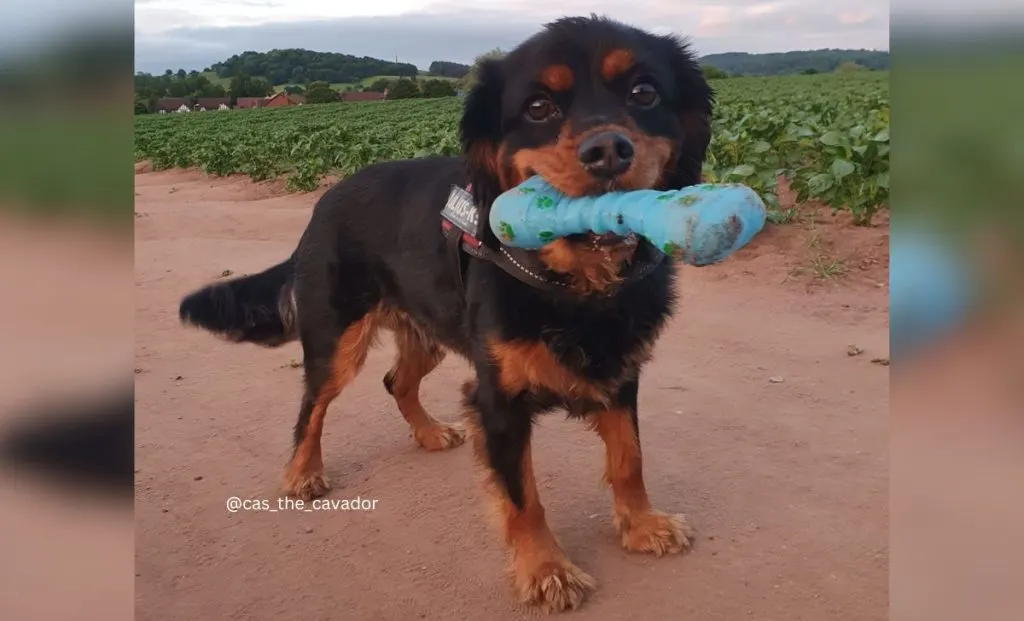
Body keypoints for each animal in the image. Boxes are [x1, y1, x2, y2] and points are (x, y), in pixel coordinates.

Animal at [180, 13, 712, 614]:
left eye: (644, 93)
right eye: (538, 107)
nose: (608, 151)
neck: (578, 283)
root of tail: (325, 201)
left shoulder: (621, 375)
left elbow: (629, 459)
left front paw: (642, 526)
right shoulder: (497, 397)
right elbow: (523, 497)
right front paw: (545, 571)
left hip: (428, 329)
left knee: (396, 381)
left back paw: (430, 433)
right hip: (336, 339)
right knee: (311, 409)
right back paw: (303, 474)